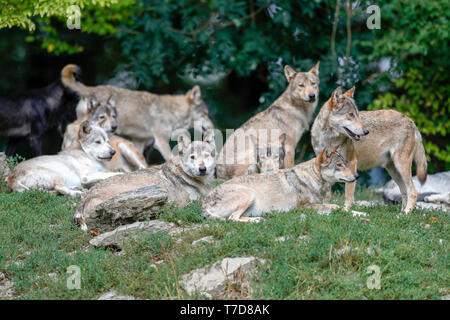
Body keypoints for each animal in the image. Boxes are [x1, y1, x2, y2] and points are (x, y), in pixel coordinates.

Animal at [61, 64, 214, 160]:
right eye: (205, 114)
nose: (213, 127)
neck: (172, 113)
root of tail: (91, 89)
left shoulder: (141, 142)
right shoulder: (161, 141)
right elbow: (170, 157)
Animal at [202, 146, 356, 221]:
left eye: (345, 163)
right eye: (339, 165)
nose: (357, 176)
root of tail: (204, 204)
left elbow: (341, 207)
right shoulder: (304, 207)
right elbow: (337, 207)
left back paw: (258, 219)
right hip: (249, 194)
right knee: (232, 219)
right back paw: (257, 220)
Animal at [312, 86, 428, 214]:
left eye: (357, 115)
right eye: (351, 115)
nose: (366, 132)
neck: (328, 139)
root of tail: (411, 121)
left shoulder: (351, 163)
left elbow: (348, 195)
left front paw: (346, 211)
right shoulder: (326, 167)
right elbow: (326, 195)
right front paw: (326, 208)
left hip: (401, 166)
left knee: (413, 191)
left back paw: (405, 214)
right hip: (393, 170)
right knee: (405, 192)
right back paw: (401, 213)